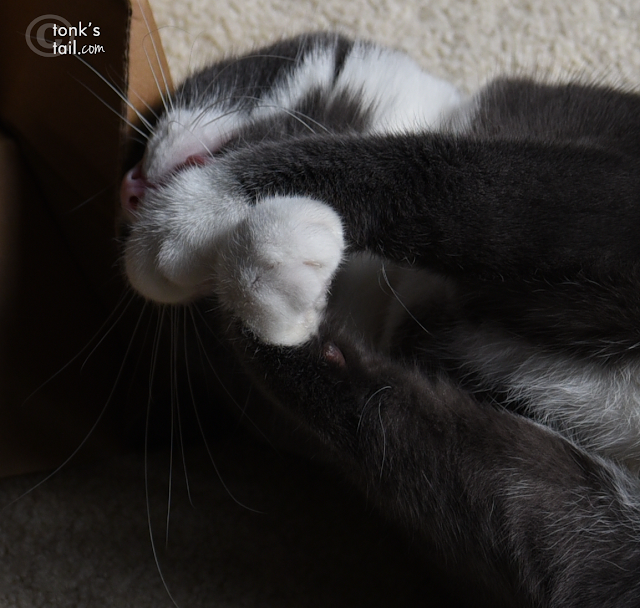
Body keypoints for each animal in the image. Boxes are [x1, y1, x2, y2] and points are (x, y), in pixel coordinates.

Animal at [117, 33, 640, 608]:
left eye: (180, 96)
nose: (127, 189)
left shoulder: (606, 187)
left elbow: (449, 175)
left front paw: (187, 217)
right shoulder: (557, 535)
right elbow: (389, 429)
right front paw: (269, 282)